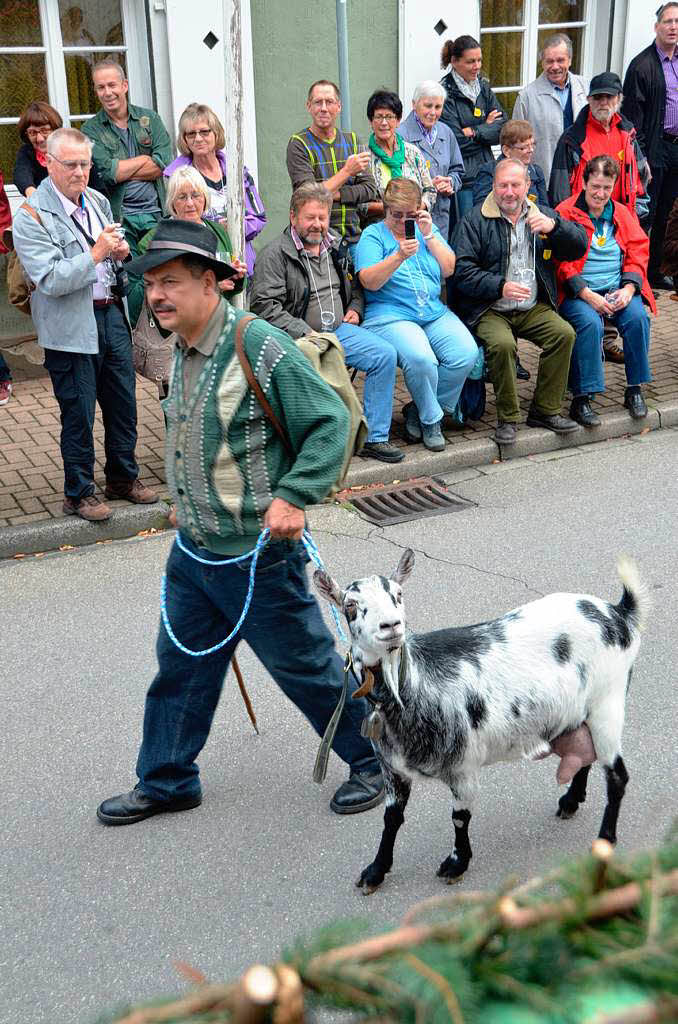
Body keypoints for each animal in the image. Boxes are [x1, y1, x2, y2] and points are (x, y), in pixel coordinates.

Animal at [315, 548, 651, 892]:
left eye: (398, 594)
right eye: (350, 606)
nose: (391, 625)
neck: (413, 687)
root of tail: (619, 612)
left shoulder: (463, 767)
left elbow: (459, 818)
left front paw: (456, 863)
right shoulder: (393, 769)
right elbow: (391, 820)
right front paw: (376, 870)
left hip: (608, 702)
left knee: (617, 776)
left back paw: (605, 841)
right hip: (579, 710)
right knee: (585, 752)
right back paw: (571, 800)